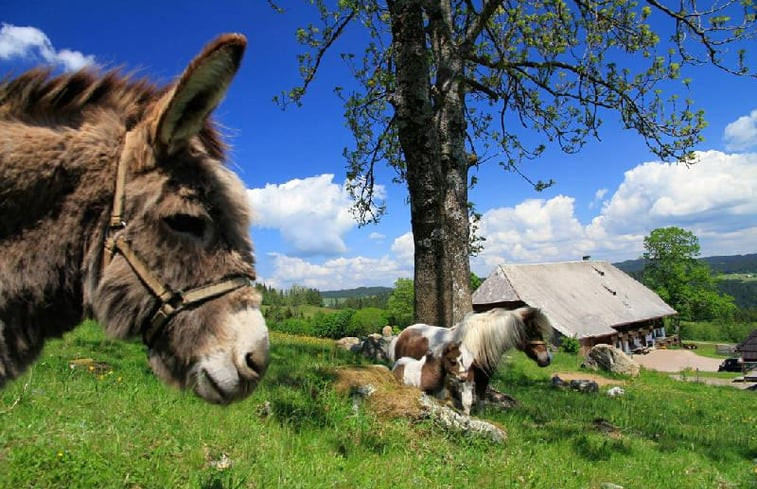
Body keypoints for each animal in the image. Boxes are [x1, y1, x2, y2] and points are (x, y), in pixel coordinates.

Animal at [390, 308, 548, 400]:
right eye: (533, 332)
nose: (546, 359)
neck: (480, 345)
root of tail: (403, 333)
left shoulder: (484, 378)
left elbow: (480, 401)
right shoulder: (467, 377)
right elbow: (467, 401)